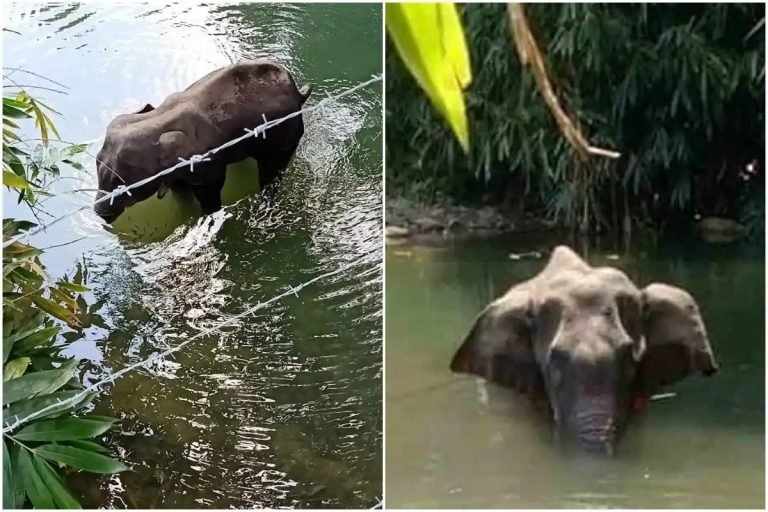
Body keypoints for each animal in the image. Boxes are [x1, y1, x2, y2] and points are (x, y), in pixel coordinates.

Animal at [94, 60, 312, 223]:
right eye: (97, 161)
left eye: (122, 182)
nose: (99, 212)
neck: (158, 119)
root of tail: (299, 93)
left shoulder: (206, 164)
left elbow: (210, 193)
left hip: (285, 136)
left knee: (271, 174)